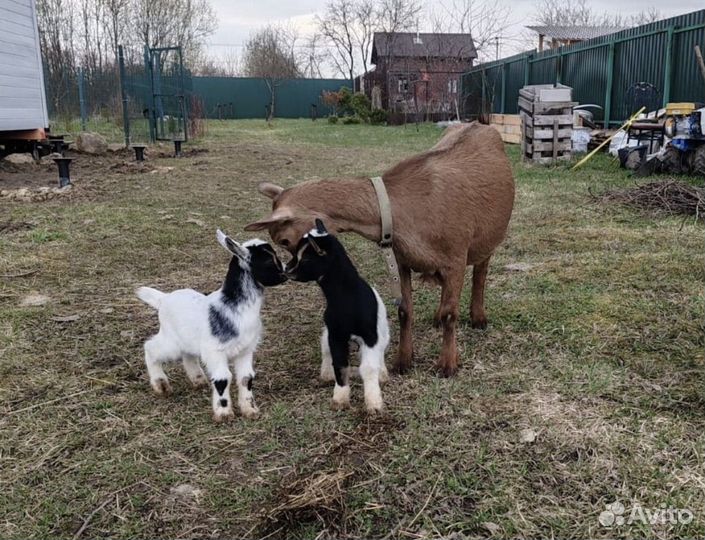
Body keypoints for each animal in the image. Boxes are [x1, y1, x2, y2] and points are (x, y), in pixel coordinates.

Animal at [136, 230, 287, 421]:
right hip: (171, 340)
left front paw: (250, 410)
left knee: (188, 356)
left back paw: (198, 380)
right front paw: (223, 413)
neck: (234, 306)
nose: (286, 272)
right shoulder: (215, 351)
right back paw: (161, 385)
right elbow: (223, 378)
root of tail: (164, 298)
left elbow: (246, 378)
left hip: (189, 341)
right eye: (268, 260)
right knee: (151, 347)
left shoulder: (245, 350)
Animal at [245, 122, 515, 376]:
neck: (402, 208)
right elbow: (405, 310)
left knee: (480, 272)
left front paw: (447, 365)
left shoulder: (456, 257)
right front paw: (403, 361)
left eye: (283, 240)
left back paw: (478, 317)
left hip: (488, 237)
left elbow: (451, 313)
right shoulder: (402, 261)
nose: (288, 271)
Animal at [285, 219, 389, 413]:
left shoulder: (370, 336)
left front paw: (374, 403)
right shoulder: (336, 334)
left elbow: (369, 367)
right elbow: (340, 365)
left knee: (380, 352)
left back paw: (383, 373)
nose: (286, 268)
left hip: (383, 332)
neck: (347, 295)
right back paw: (326, 374)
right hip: (328, 334)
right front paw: (340, 398)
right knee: (326, 351)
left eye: (306, 258)